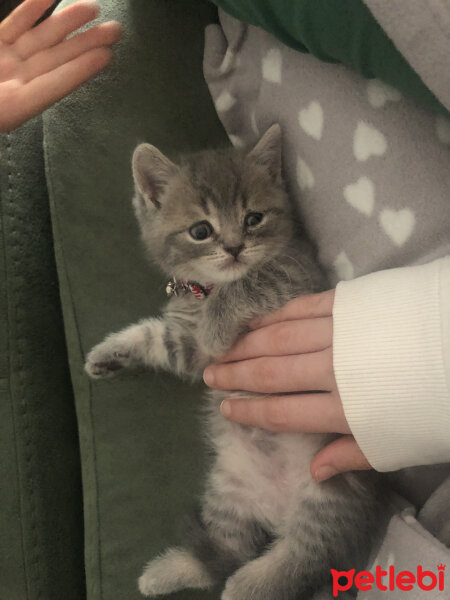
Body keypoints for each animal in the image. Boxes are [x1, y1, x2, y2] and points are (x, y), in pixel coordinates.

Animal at [84, 124, 384, 596]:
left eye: (253, 219)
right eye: (200, 230)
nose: (235, 248)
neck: (206, 290)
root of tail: (277, 509)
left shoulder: (297, 276)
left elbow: (254, 281)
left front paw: (219, 319)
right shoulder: (189, 350)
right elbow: (154, 337)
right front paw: (106, 355)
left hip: (330, 493)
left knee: (301, 558)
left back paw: (248, 586)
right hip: (228, 490)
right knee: (229, 550)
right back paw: (168, 571)